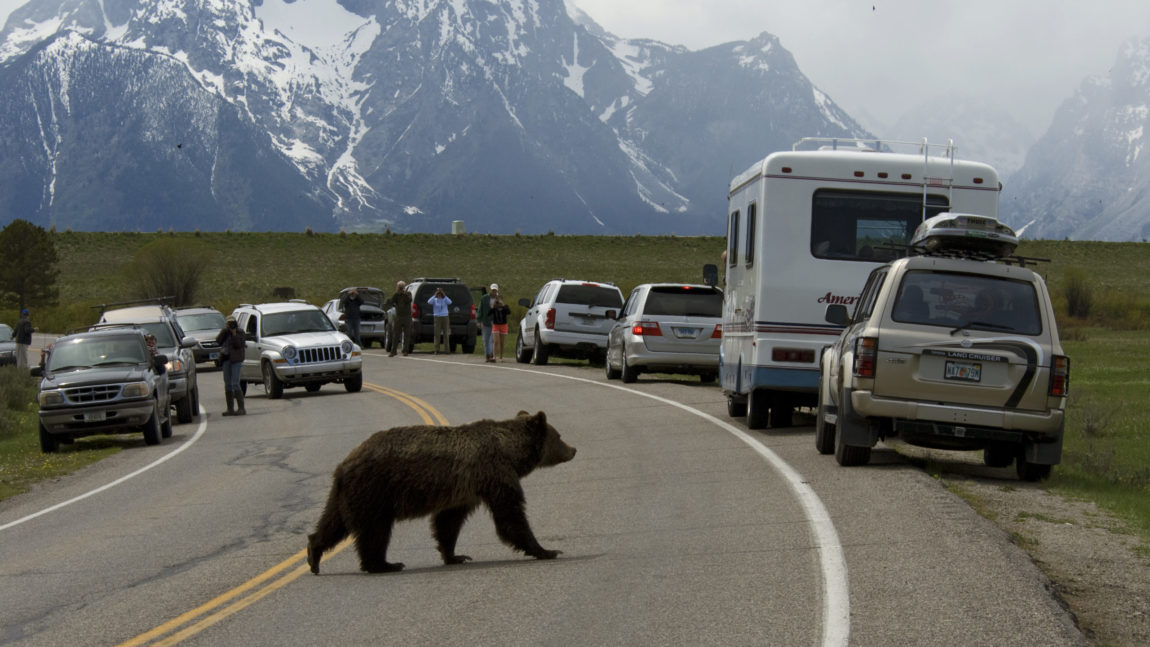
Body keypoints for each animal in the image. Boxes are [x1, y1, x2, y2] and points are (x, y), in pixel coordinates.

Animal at [307, 410, 576, 574]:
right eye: (559, 435)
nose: (573, 449)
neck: (509, 452)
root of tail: (344, 464)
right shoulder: (494, 474)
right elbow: (511, 517)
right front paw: (547, 550)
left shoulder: (464, 490)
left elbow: (448, 522)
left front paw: (455, 555)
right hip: (374, 490)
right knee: (374, 530)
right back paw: (384, 564)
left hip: (346, 494)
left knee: (332, 523)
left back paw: (314, 555)